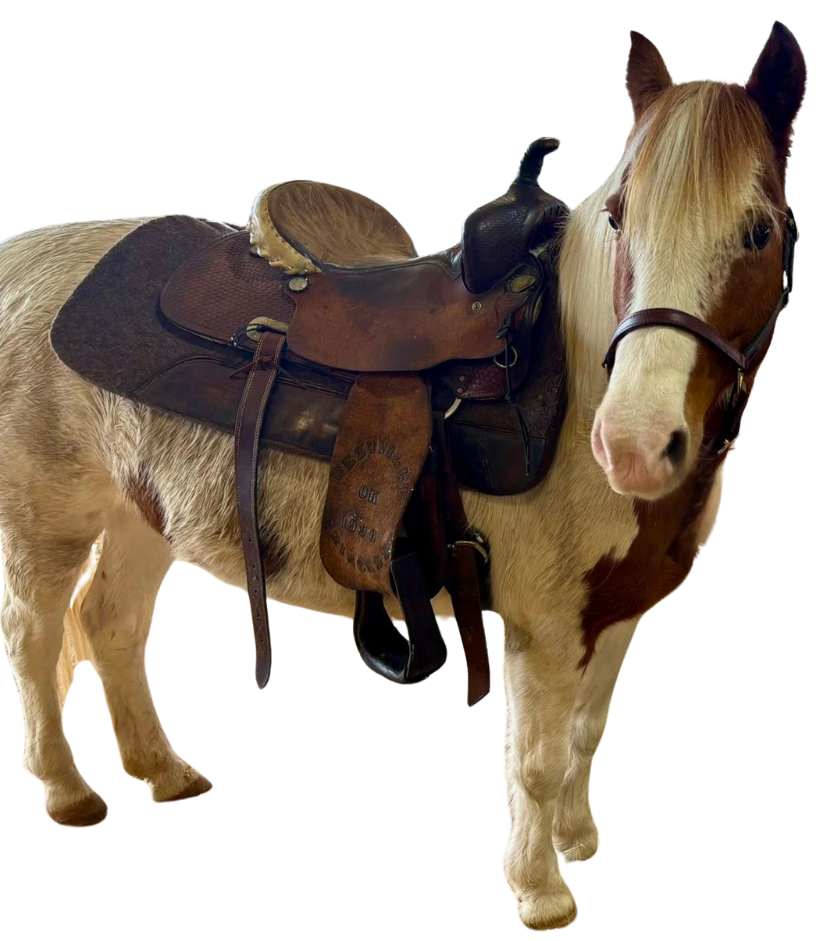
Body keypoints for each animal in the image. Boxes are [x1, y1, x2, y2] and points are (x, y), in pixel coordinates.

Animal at [0, 22, 806, 931]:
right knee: (33, 636)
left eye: (760, 232)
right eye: (619, 218)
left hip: (140, 513)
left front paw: (578, 839)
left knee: (112, 625)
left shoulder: (615, 614)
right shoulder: (545, 624)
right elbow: (534, 757)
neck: (574, 381)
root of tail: (20, 254)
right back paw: (68, 789)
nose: (633, 442)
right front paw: (541, 888)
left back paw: (164, 771)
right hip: (47, 519)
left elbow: (587, 732)